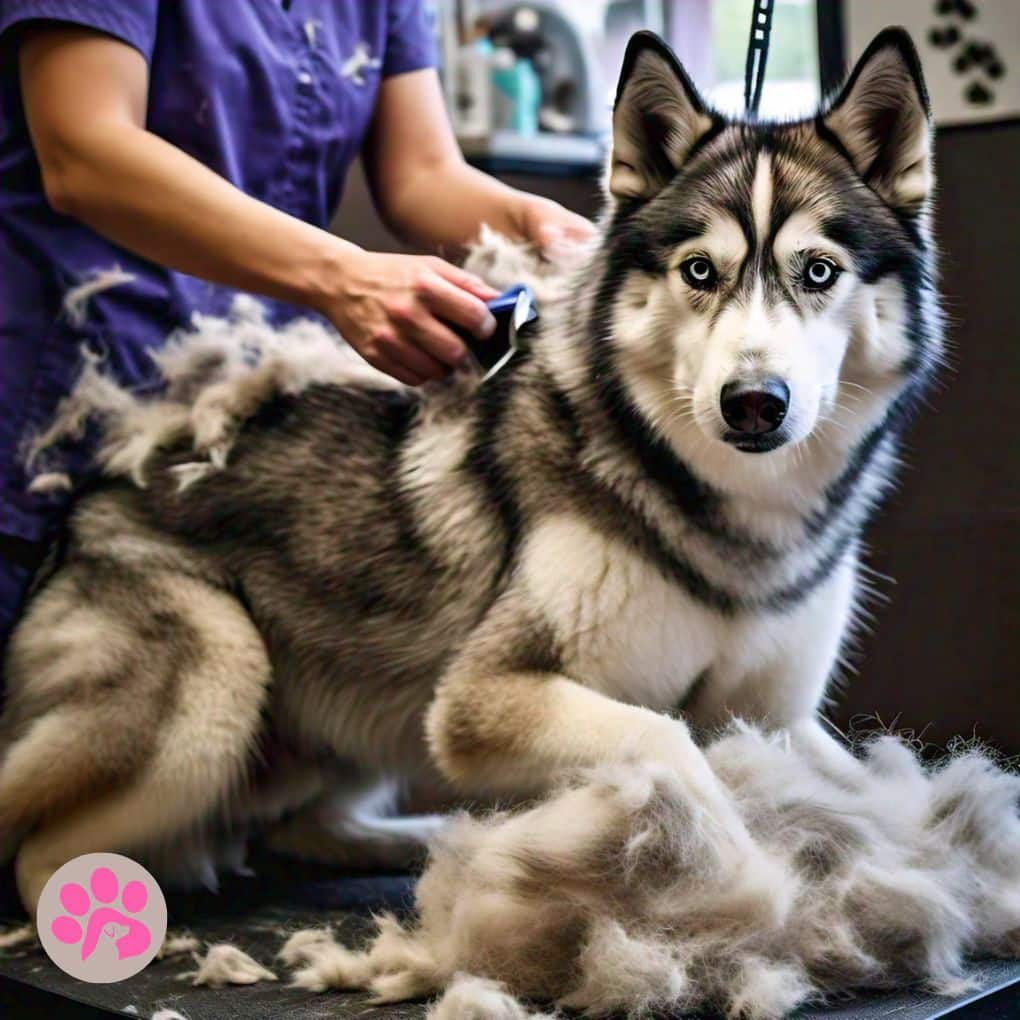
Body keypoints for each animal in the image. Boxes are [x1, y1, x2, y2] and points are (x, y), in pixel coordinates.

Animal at [0, 27, 938, 913]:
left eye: (818, 271)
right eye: (700, 271)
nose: (753, 402)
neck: (735, 517)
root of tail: (85, 504)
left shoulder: (782, 717)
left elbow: (886, 785)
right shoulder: (481, 700)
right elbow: (666, 738)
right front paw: (739, 872)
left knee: (299, 826)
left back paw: (431, 842)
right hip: (219, 683)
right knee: (37, 855)